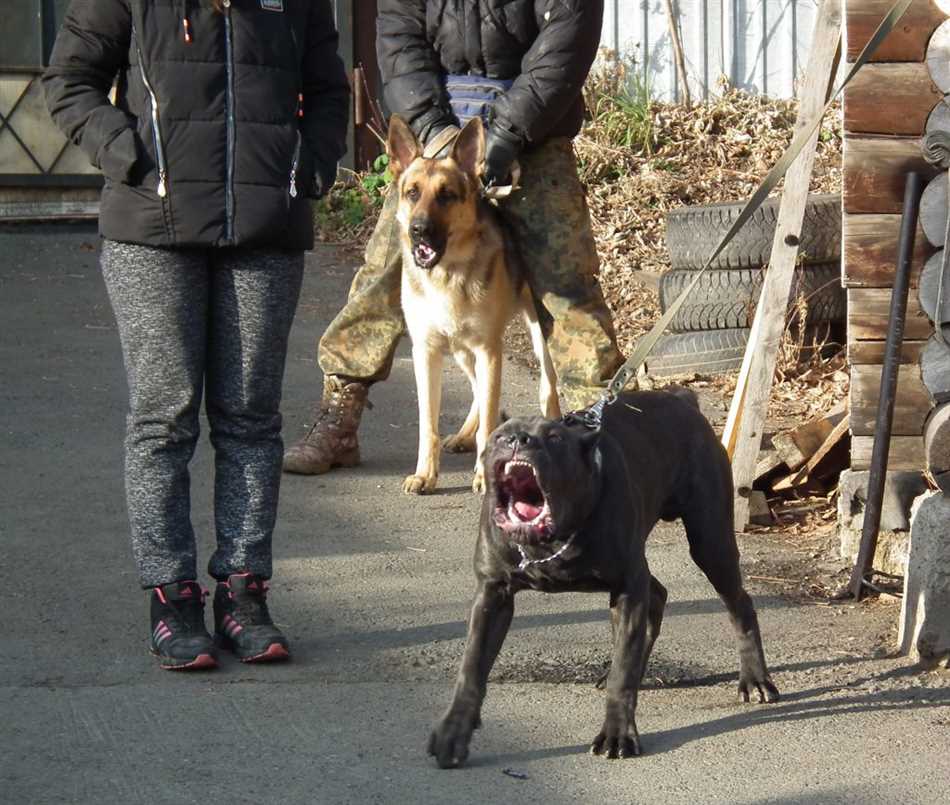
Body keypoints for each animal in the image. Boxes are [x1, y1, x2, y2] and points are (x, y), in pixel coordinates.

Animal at [386, 118, 560, 496]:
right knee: (479, 392)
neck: (447, 274)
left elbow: (490, 415)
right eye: (412, 193)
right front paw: (425, 474)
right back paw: (466, 434)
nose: (419, 230)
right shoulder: (426, 353)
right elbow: (428, 423)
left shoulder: (488, 350)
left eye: (446, 195)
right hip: (464, 351)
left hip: (537, 335)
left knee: (547, 387)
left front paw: (483, 476)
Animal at [430, 388, 780, 768]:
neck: (551, 539)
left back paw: (755, 679)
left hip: (710, 542)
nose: (518, 439)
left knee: (739, 605)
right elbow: (471, 670)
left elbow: (622, 677)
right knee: (657, 596)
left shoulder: (626, 589)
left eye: (554, 439)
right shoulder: (493, 596)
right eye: (499, 436)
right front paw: (454, 732)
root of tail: (680, 396)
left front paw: (617, 734)